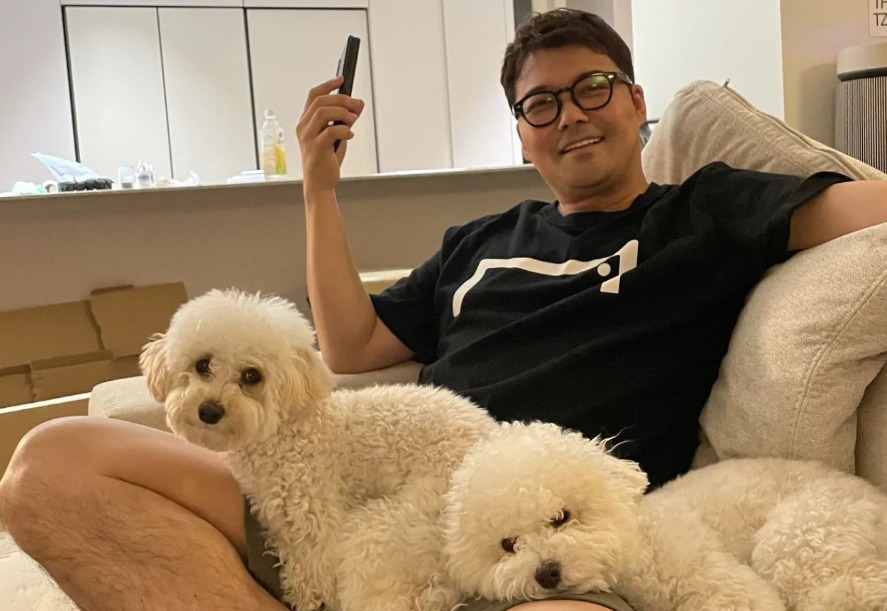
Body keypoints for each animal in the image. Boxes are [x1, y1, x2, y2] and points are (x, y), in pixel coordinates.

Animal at [140, 289, 497, 611]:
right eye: (202, 365)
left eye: (252, 376)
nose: (209, 411)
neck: (285, 431)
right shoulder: (278, 517)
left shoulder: (315, 515)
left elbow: (315, 567)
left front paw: (311, 598)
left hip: (387, 523)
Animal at [443, 421, 887, 611]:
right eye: (508, 545)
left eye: (561, 517)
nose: (546, 573)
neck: (639, 551)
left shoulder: (723, 584)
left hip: (799, 539)